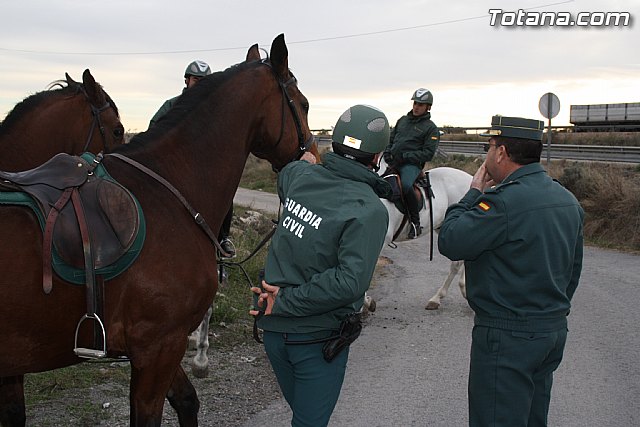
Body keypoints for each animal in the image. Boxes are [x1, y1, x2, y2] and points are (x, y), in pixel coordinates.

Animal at [0, 34, 317, 427]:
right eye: (303, 104)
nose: (316, 158)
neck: (167, 191)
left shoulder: (159, 344)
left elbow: (186, 400)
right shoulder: (159, 345)